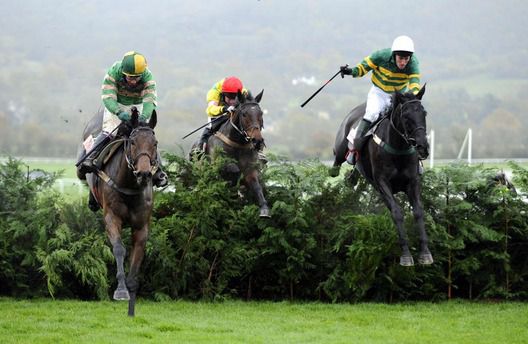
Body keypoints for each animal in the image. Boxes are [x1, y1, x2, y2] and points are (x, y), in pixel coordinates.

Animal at [76, 107, 158, 314]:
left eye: (155, 143)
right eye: (133, 142)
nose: (144, 174)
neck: (129, 185)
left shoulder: (142, 226)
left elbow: (137, 256)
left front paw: (131, 296)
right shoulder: (112, 218)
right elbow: (119, 249)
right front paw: (121, 290)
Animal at [190, 88, 270, 218]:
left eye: (261, 113)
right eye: (244, 114)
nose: (257, 141)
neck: (237, 144)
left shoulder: (251, 169)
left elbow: (256, 186)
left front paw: (264, 209)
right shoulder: (219, 164)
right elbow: (232, 169)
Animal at [330, 85, 434, 266]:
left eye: (424, 113)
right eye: (405, 116)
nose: (423, 147)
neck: (398, 149)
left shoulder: (412, 182)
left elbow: (418, 212)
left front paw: (425, 253)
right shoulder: (382, 182)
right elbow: (397, 213)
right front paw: (406, 255)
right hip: (341, 147)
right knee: (338, 159)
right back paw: (336, 170)